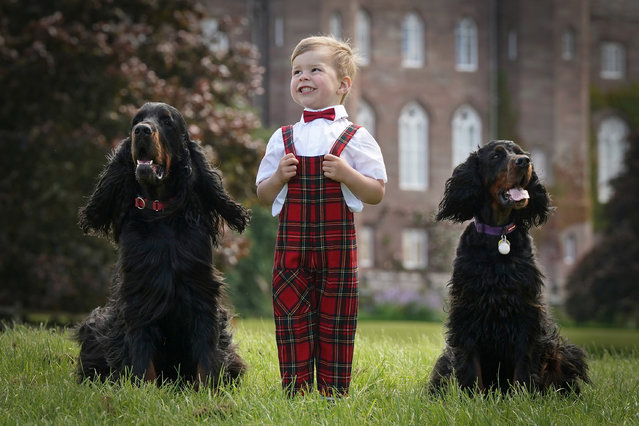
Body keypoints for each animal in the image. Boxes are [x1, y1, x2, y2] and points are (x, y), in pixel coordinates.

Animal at [73, 101, 248, 388]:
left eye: (167, 121)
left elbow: (206, 356)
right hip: (96, 325)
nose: (142, 131)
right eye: (136, 120)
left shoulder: (201, 292)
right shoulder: (139, 295)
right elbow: (142, 356)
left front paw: (210, 390)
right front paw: (143, 390)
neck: (160, 212)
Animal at [430, 141, 592, 394]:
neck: (499, 236)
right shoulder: (467, 311)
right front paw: (471, 396)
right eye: (496, 156)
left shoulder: (526, 311)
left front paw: (523, 396)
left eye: (520, 152)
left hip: (559, 350)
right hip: (446, 360)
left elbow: (524, 361)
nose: (524, 161)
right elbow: (469, 365)